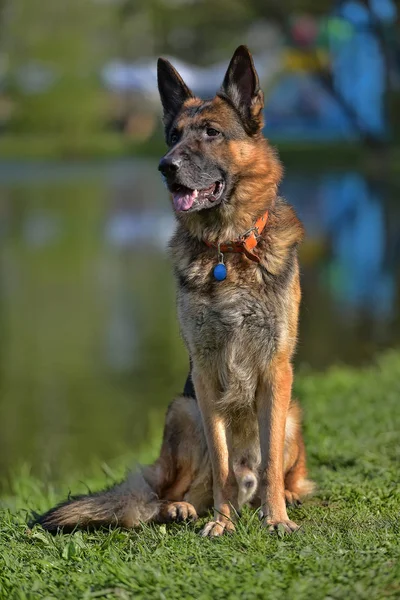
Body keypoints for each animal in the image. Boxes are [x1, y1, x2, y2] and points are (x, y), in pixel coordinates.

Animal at [36, 45, 314, 536]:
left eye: (211, 133)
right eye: (171, 136)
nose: (166, 167)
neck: (227, 248)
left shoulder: (276, 370)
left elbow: (270, 467)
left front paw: (277, 517)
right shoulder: (204, 375)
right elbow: (220, 461)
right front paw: (221, 523)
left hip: (292, 411)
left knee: (279, 472)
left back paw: (284, 498)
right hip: (182, 412)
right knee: (164, 493)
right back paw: (184, 508)